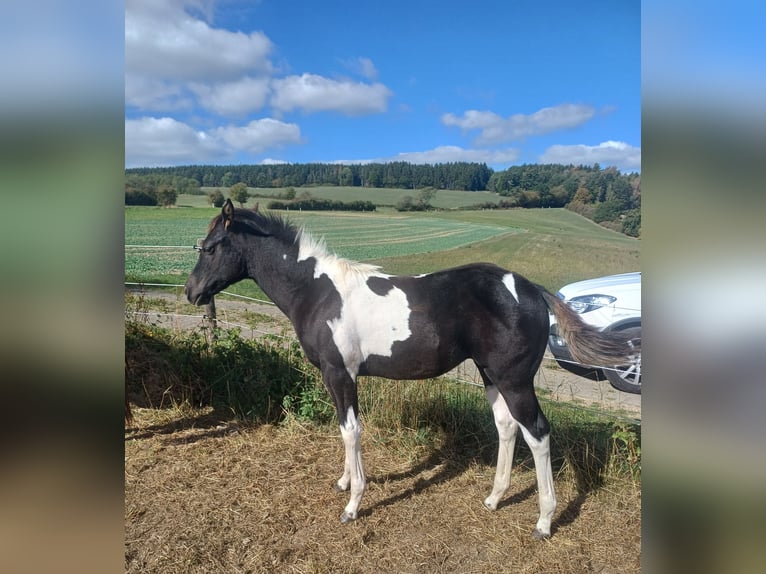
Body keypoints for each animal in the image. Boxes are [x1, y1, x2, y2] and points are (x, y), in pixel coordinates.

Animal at [184, 199, 637, 539]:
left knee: (538, 434)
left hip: (514, 379)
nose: (191, 292)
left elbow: (351, 430)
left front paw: (353, 503)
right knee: (507, 427)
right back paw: (494, 498)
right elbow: (342, 428)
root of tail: (530, 288)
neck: (317, 291)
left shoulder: (340, 373)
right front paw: (344, 482)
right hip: (491, 375)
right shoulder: (335, 377)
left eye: (211, 247)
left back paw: (544, 521)